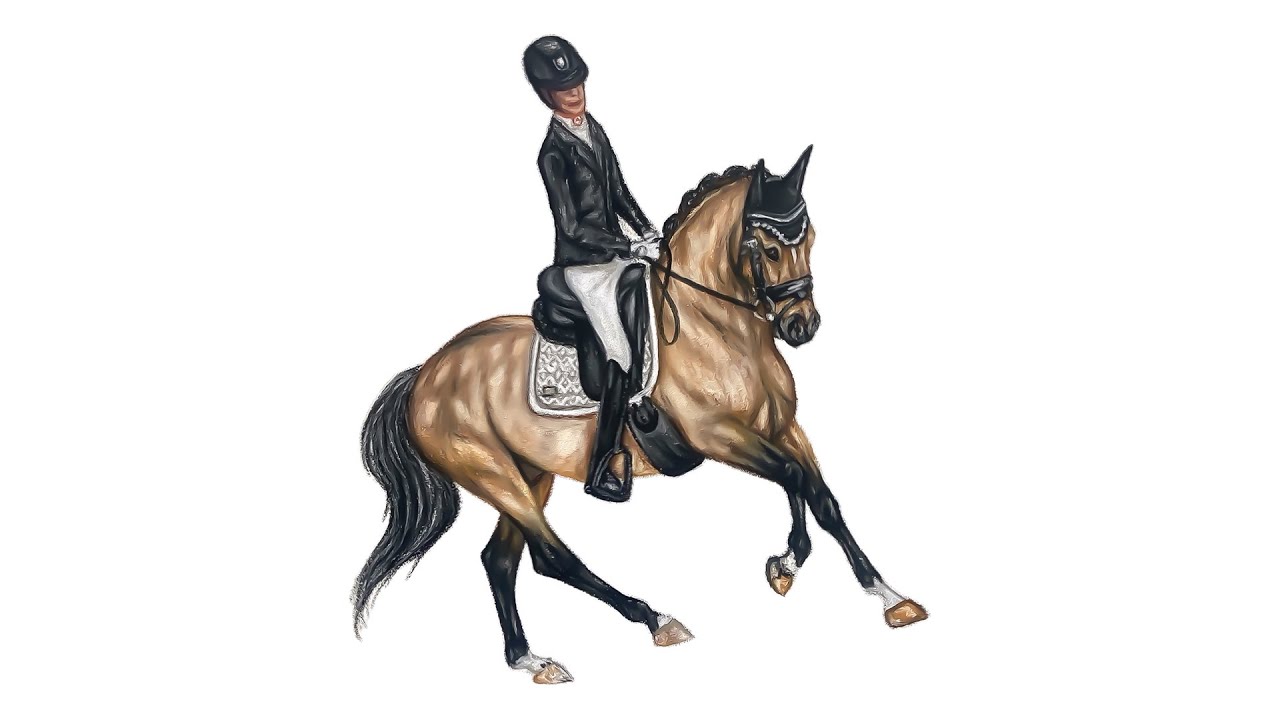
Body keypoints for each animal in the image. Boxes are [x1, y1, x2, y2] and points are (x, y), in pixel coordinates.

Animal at [351, 148, 928, 684]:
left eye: (809, 240)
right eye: (767, 248)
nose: (801, 325)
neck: (721, 328)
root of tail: (426, 372)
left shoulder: (783, 428)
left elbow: (820, 495)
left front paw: (877, 592)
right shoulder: (717, 436)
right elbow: (794, 477)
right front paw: (793, 565)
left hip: (529, 473)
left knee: (501, 560)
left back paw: (530, 659)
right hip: (491, 473)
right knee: (551, 557)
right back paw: (655, 620)